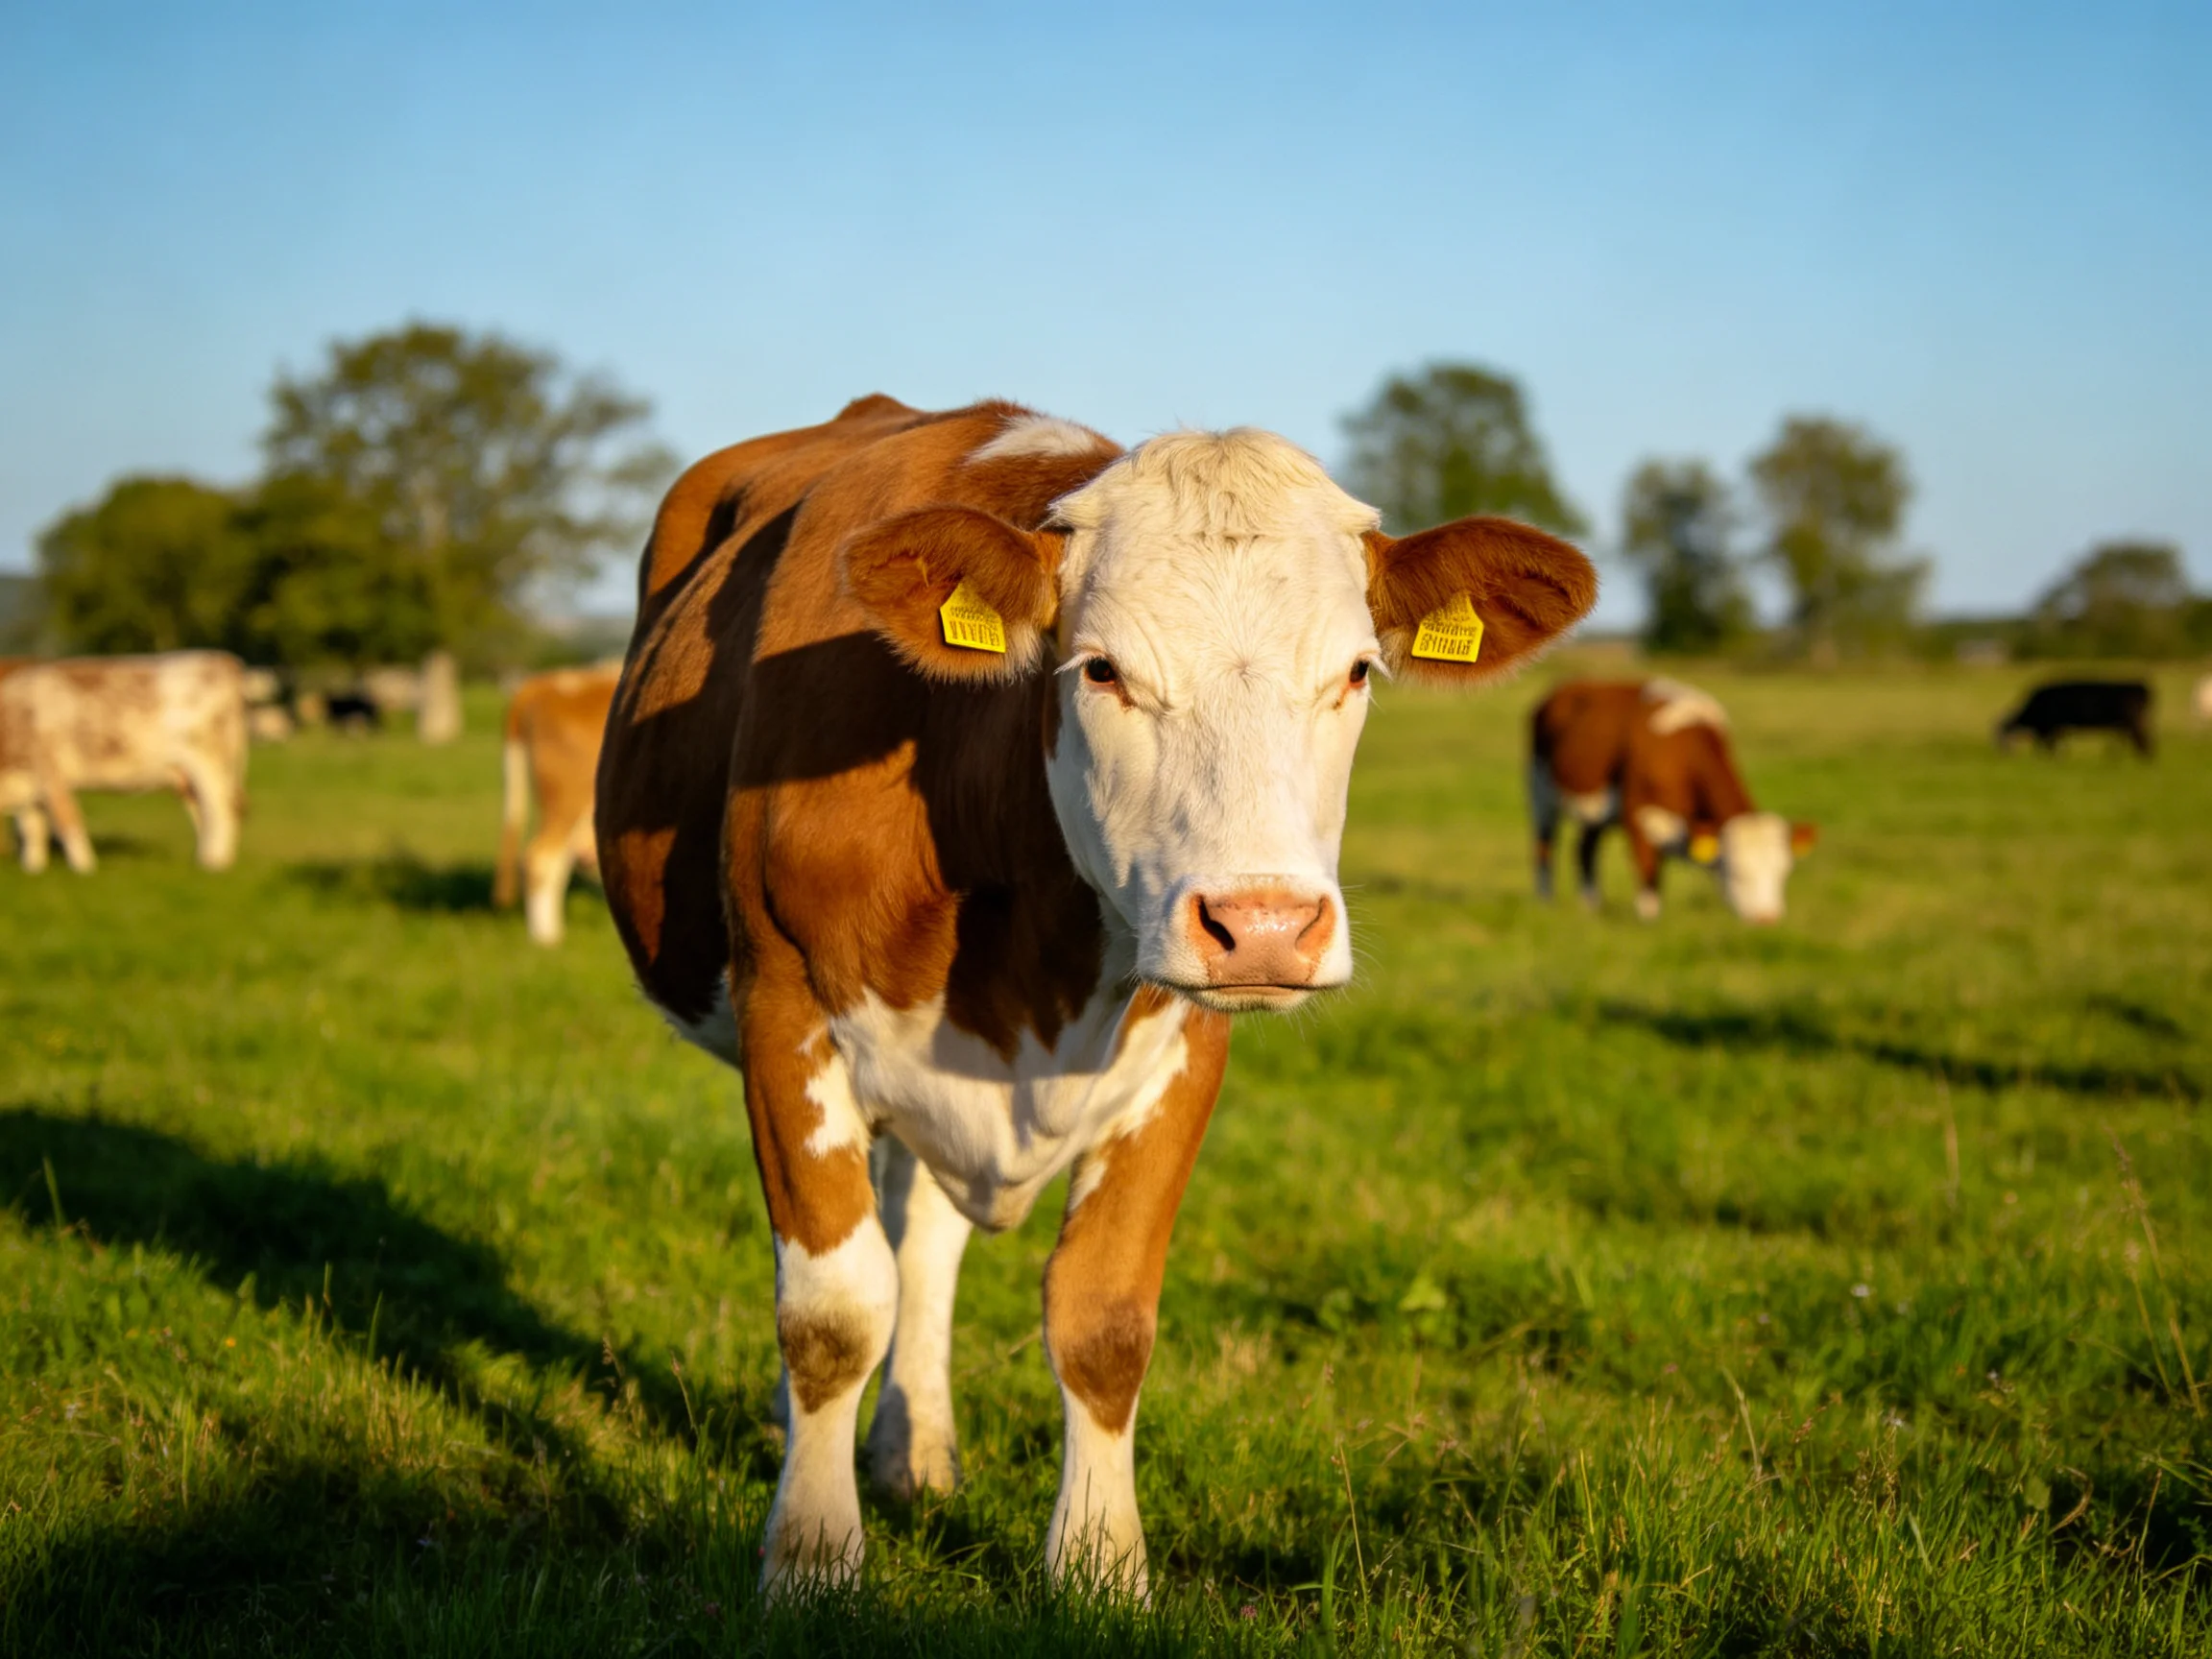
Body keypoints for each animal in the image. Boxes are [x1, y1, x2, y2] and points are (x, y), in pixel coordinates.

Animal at [0, 651, 248, 873]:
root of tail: (219, 658)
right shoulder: (28, 786)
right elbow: (31, 829)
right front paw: (33, 869)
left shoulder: (51, 773)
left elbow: (67, 821)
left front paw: (85, 869)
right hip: (186, 777)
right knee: (204, 813)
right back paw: (205, 859)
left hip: (208, 763)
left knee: (220, 808)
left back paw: (215, 864)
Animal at [594, 396, 1596, 1596]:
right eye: (1103, 669)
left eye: (1357, 671)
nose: (1265, 925)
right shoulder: (786, 1010)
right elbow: (832, 1313)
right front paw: (811, 1556)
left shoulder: (1183, 1050)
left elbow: (1102, 1316)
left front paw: (1101, 1568)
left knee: (922, 1234)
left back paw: (914, 1453)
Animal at [1529, 678, 1814, 923]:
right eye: (1737, 872)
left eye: (1783, 872)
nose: (1767, 918)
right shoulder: (1637, 816)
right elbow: (1649, 881)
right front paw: (1649, 924)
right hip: (1540, 791)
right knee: (1544, 846)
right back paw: (1546, 903)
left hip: (1595, 811)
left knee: (1585, 848)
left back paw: (1591, 906)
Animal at [1996, 679, 2153, 757]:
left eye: (2003, 739)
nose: (2003, 755)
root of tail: (2141, 687)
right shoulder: (2056, 729)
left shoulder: (2053, 728)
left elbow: (2051, 746)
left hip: (2134, 724)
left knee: (2144, 741)